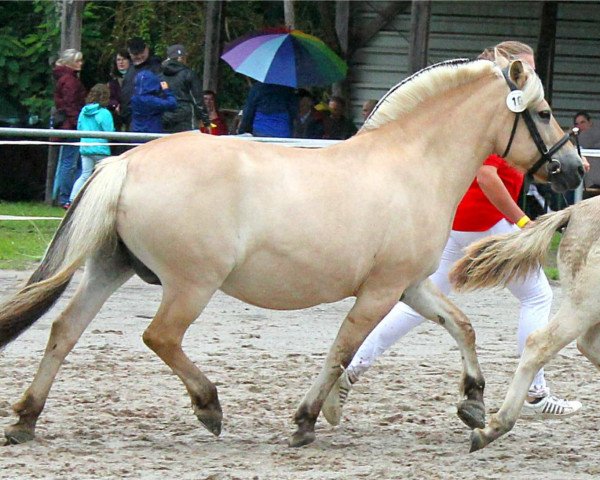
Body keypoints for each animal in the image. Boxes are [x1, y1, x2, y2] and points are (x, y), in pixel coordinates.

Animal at [0, 59, 580, 446]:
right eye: (544, 112)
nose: (575, 168)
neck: (414, 163)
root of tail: (127, 162)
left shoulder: (410, 285)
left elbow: (461, 325)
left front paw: (473, 401)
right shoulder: (379, 291)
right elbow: (342, 350)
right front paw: (305, 420)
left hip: (110, 268)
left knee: (64, 330)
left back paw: (26, 419)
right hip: (191, 285)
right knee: (159, 336)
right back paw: (209, 407)